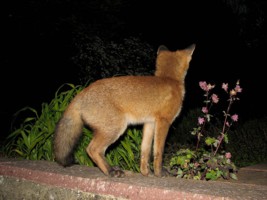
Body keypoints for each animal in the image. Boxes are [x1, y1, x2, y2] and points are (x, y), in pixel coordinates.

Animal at [54, 43, 197, 177]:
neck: (169, 79)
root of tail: (82, 93)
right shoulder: (163, 121)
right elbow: (158, 152)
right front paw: (159, 173)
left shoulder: (149, 123)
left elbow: (145, 151)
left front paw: (146, 173)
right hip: (116, 128)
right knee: (92, 149)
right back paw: (111, 171)